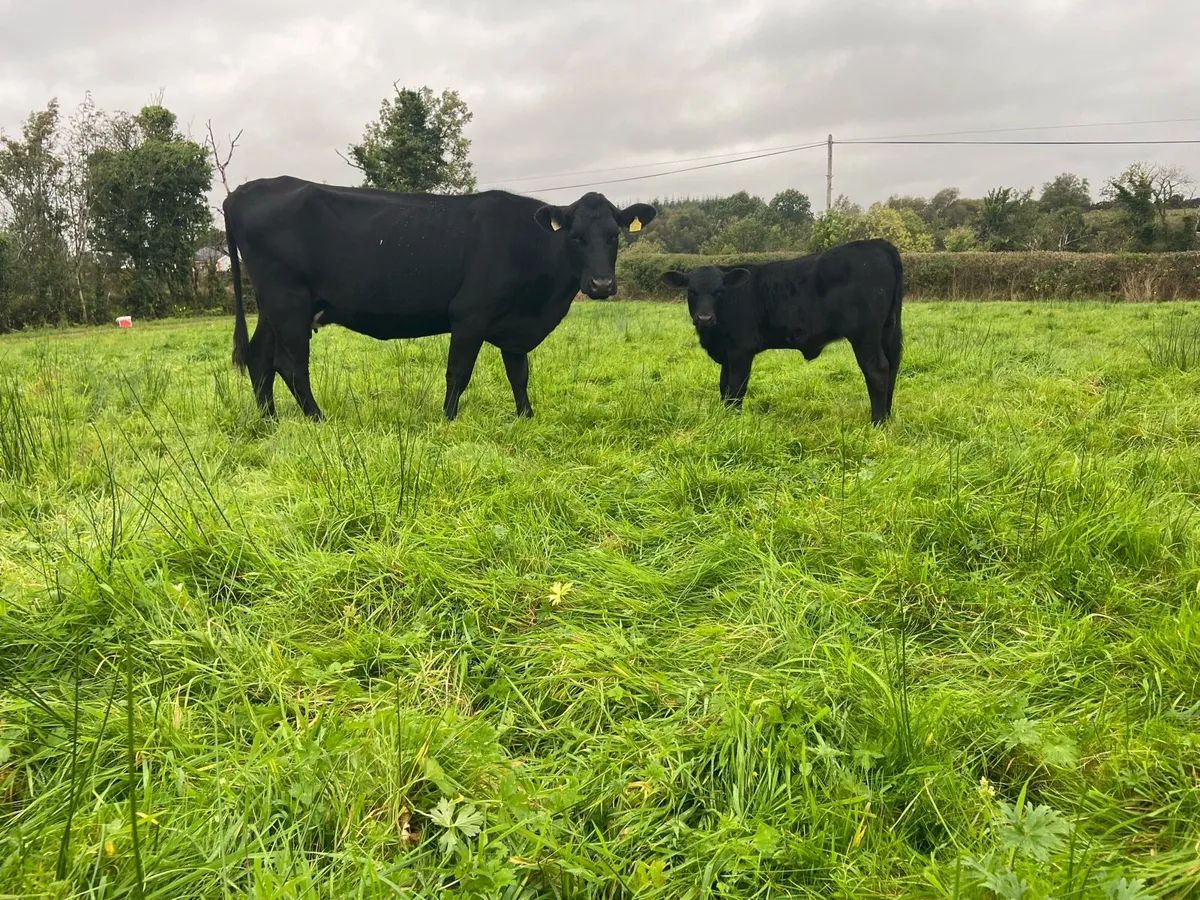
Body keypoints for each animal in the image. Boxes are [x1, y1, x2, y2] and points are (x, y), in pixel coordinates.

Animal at [223, 176, 656, 421]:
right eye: (575, 237)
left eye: (614, 236)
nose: (601, 284)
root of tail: (242, 192)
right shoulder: (470, 315)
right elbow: (458, 373)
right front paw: (448, 420)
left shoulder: (514, 326)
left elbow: (519, 374)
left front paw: (526, 417)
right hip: (289, 301)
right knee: (290, 365)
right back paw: (317, 420)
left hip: (272, 306)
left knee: (260, 357)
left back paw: (269, 421)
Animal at [660, 238, 903, 424]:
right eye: (691, 291)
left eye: (719, 291)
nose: (704, 318)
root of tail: (878, 244)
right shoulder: (727, 352)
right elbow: (724, 386)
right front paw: (725, 415)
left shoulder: (741, 350)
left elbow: (736, 386)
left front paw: (733, 419)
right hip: (888, 331)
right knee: (892, 366)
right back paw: (887, 416)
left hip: (865, 335)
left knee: (877, 370)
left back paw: (877, 422)